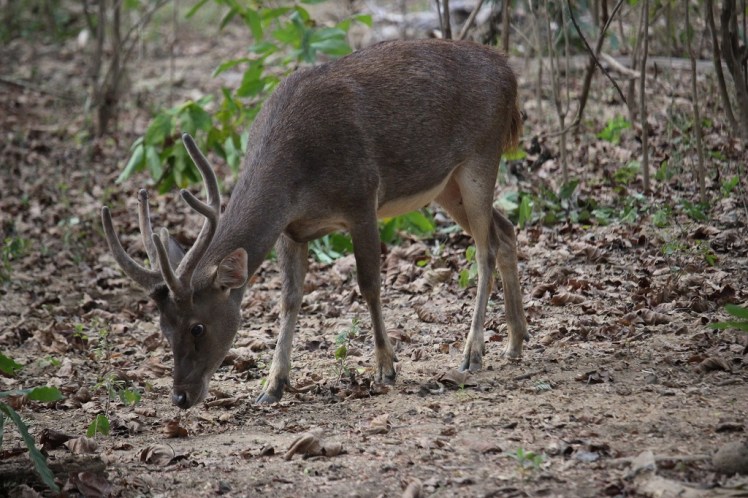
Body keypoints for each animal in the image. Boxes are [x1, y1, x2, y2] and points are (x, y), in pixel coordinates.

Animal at [102, 39, 529, 410]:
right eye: (163, 328)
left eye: (197, 327)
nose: (180, 397)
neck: (298, 175)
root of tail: (509, 72)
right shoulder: (291, 229)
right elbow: (289, 298)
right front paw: (272, 385)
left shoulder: (362, 197)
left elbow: (369, 285)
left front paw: (386, 367)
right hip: (446, 184)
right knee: (505, 230)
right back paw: (516, 341)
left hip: (481, 154)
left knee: (485, 249)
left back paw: (473, 352)